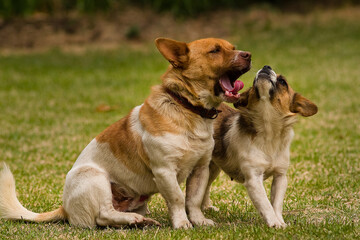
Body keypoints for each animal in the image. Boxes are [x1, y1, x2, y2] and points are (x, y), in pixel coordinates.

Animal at [0, 37, 250, 229]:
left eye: (233, 46)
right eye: (215, 51)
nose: (248, 54)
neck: (187, 109)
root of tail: (65, 207)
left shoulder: (200, 169)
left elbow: (194, 200)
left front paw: (199, 221)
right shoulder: (165, 171)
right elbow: (178, 199)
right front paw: (182, 224)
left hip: (137, 199)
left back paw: (141, 221)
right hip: (96, 178)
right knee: (103, 216)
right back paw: (134, 220)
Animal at [202, 65, 318, 227]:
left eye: (283, 82)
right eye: (253, 82)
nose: (266, 67)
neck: (268, 133)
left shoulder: (280, 177)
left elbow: (276, 204)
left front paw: (280, 221)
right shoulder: (254, 179)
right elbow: (265, 204)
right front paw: (275, 223)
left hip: (212, 169)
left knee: (205, 186)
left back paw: (206, 207)